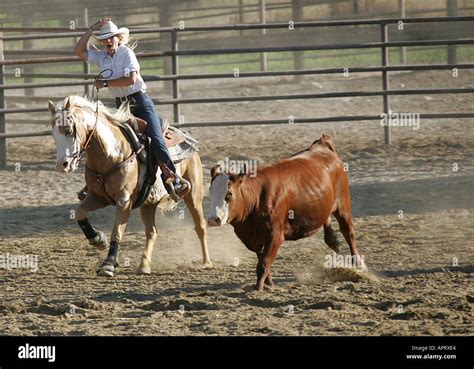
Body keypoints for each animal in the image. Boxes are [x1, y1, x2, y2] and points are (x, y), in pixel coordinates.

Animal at [49, 95, 210, 276]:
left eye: (69, 130)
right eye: (53, 134)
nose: (62, 165)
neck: (111, 154)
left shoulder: (124, 201)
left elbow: (117, 232)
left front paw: (108, 264)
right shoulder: (98, 197)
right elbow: (79, 212)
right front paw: (97, 239)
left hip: (194, 195)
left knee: (200, 226)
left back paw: (206, 262)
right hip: (148, 204)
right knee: (152, 232)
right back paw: (144, 265)